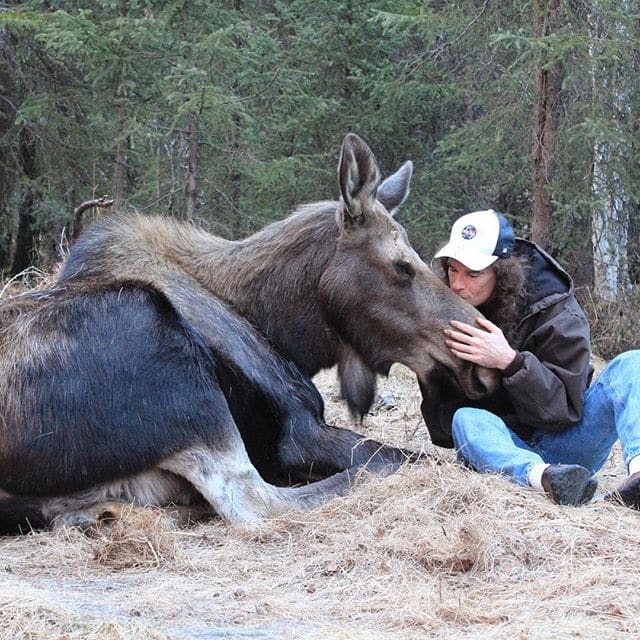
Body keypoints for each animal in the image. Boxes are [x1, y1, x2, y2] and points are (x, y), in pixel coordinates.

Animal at [0, 132, 496, 532]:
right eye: (401, 265)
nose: (482, 364)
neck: (284, 330)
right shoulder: (299, 431)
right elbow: (399, 455)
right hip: (170, 357)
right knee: (262, 502)